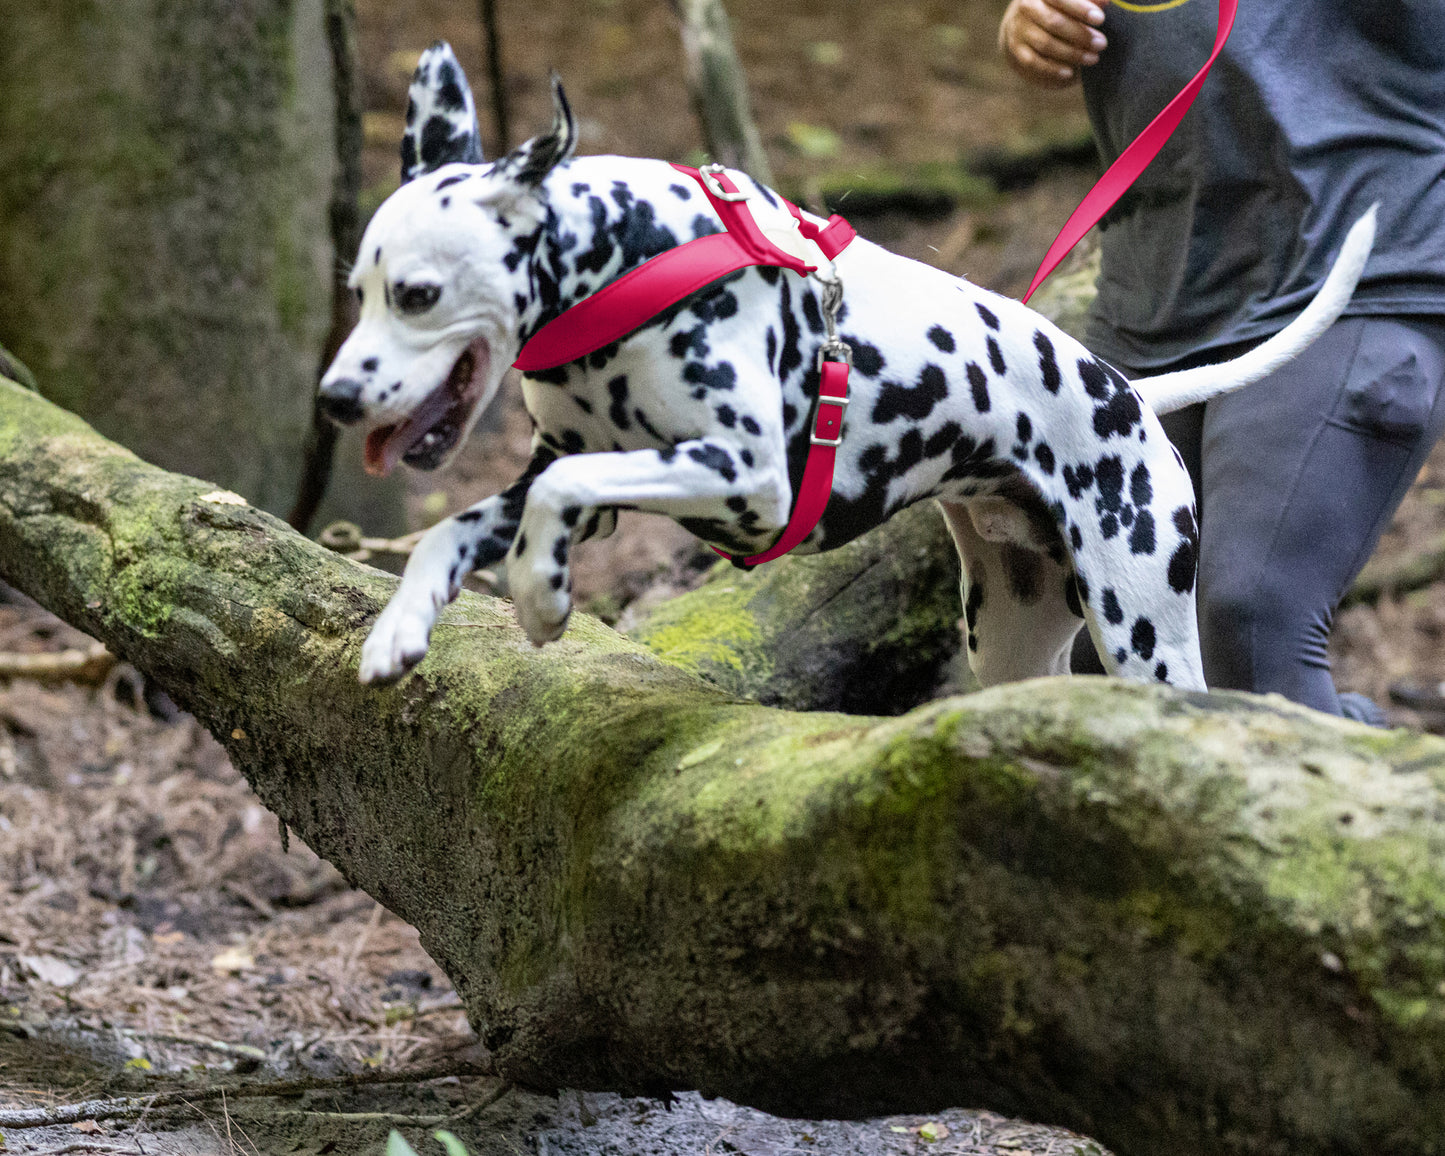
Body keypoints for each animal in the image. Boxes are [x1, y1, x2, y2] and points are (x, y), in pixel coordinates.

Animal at [325, 45, 1375, 690]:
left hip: (1143, 627)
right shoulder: (577, 474)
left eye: (416, 294)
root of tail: (1129, 392)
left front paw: (543, 601)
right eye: (358, 290)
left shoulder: (745, 476)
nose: (335, 398)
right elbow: (457, 525)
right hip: (1012, 635)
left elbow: (557, 494)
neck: (630, 255)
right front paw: (400, 628)